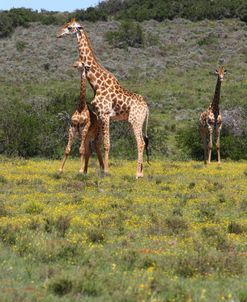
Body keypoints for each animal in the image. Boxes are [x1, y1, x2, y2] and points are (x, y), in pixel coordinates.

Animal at [56, 18, 149, 178]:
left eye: (69, 27)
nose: (58, 34)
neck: (96, 84)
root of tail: (147, 108)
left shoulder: (105, 114)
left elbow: (106, 144)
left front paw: (106, 171)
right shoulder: (99, 115)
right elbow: (97, 143)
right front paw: (97, 169)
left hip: (135, 120)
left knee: (141, 142)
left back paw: (137, 174)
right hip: (136, 121)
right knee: (141, 142)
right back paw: (141, 173)